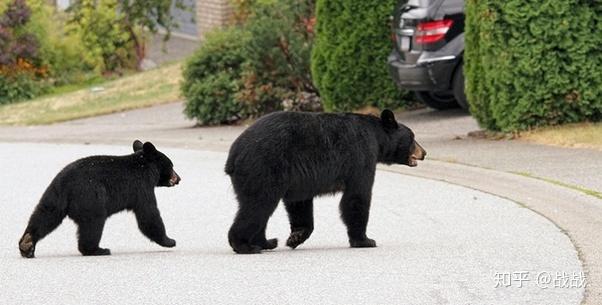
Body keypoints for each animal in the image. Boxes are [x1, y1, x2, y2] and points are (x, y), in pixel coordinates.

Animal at [17, 140, 179, 256]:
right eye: (171, 165)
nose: (179, 178)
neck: (145, 166)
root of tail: (66, 183)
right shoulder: (141, 187)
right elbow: (149, 214)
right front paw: (170, 241)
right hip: (91, 198)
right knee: (93, 223)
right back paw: (97, 250)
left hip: (54, 196)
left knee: (45, 215)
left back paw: (27, 244)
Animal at [225, 110, 426, 253]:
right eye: (413, 137)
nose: (424, 152)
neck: (377, 137)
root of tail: (233, 155)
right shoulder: (361, 156)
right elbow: (357, 197)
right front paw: (365, 240)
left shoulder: (299, 177)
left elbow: (299, 202)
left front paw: (296, 236)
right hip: (264, 168)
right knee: (258, 205)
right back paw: (244, 245)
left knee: (260, 210)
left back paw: (267, 242)